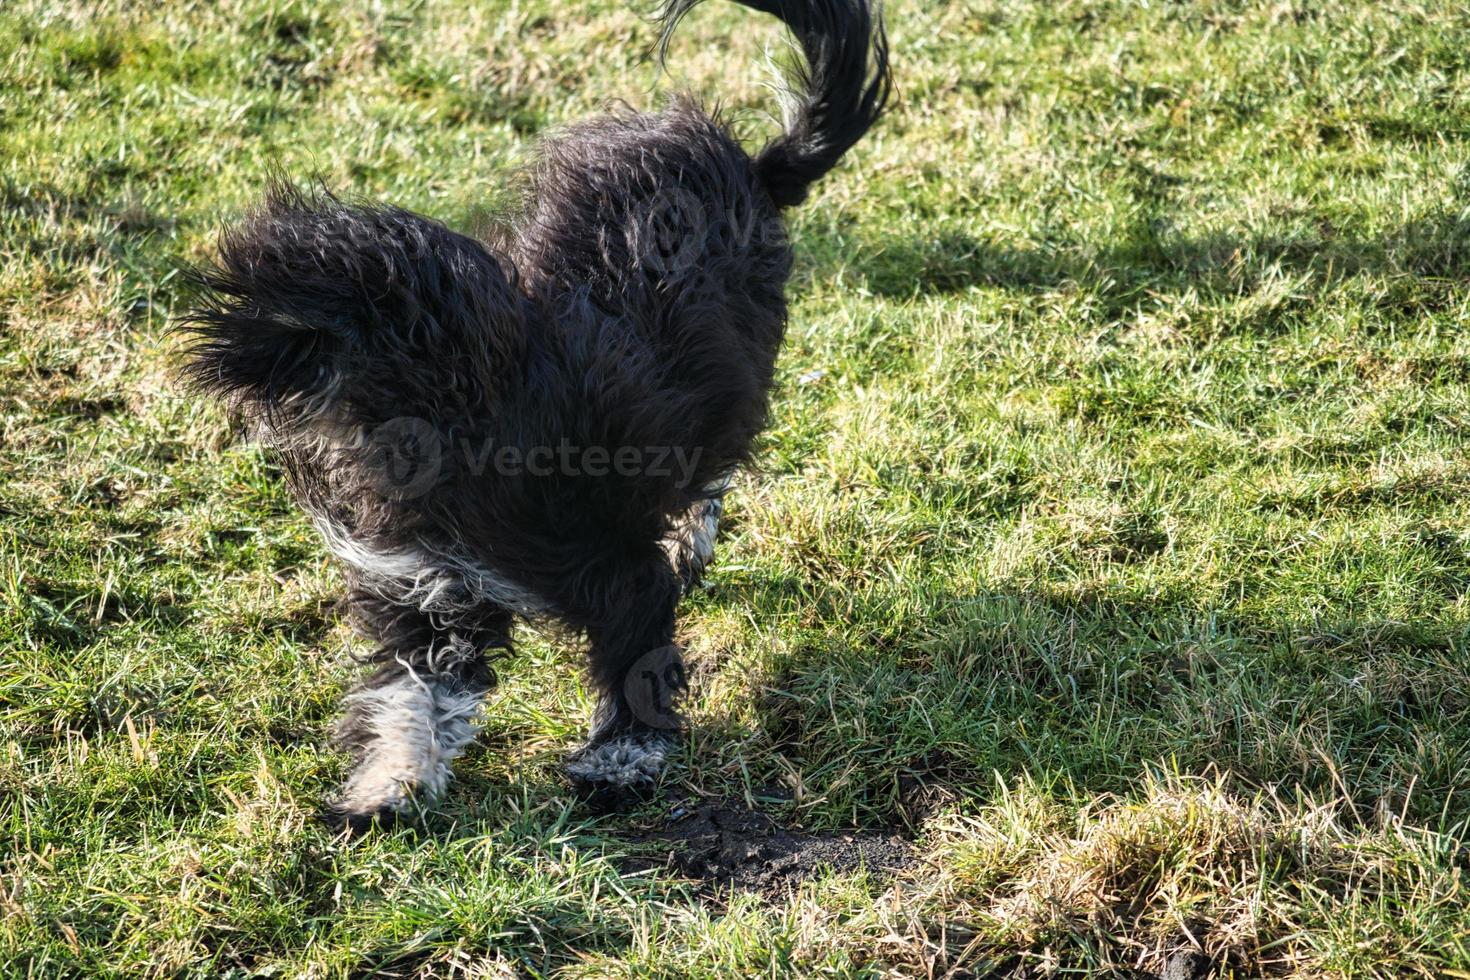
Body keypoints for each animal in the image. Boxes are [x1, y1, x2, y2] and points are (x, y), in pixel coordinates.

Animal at [177, 0, 887, 828]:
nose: (234, 343)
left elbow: (637, 653)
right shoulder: (430, 590)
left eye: (343, 307)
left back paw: (694, 542)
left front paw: (620, 760)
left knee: (710, 479)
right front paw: (391, 786)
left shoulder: (607, 564)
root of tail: (756, 165)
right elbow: (416, 695)